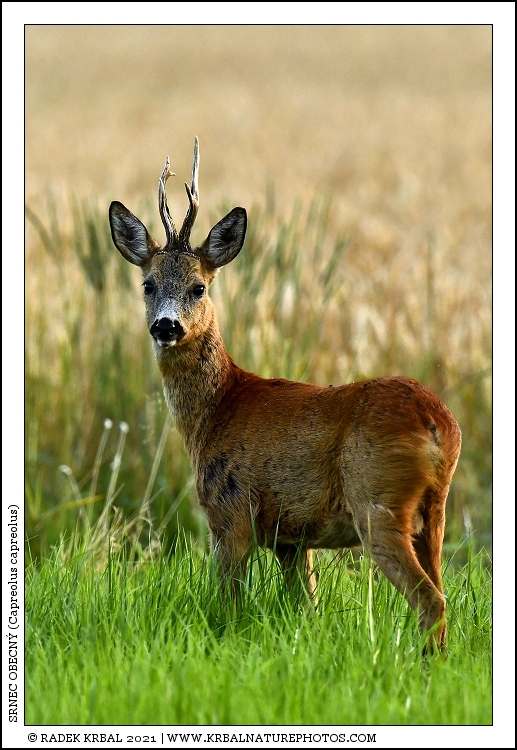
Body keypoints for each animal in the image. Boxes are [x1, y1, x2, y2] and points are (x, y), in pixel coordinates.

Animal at [109, 137, 461, 650]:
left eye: (199, 287)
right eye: (147, 284)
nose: (166, 326)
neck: (216, 410)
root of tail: (437, 423)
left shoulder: (230, 508)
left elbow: (228, 603)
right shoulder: (291, 537)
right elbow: (307, 607)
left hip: (377, 499)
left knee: (430, 600)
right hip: (433, 511)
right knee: (439, 590)